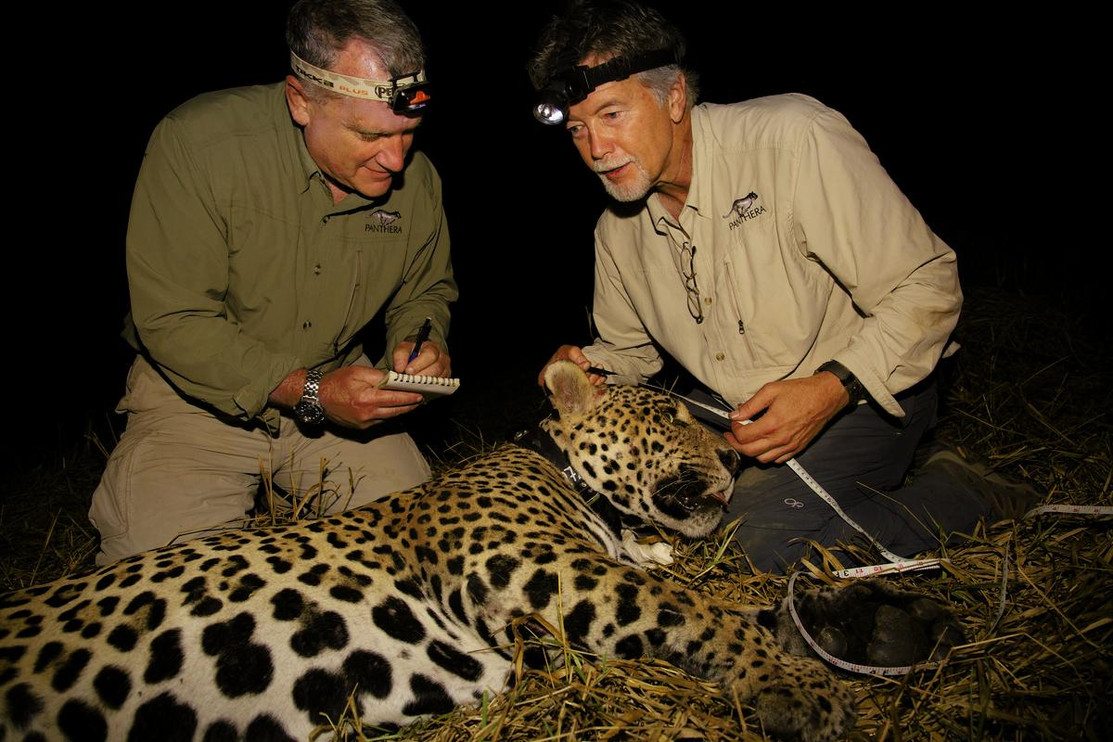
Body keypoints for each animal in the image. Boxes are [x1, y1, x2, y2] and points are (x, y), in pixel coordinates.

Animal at [1, 361, 860, 741]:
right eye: (670, 417)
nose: (738, 455)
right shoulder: (534, 568)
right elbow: (689, 603)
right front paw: (794, 684)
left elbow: (693, 586)